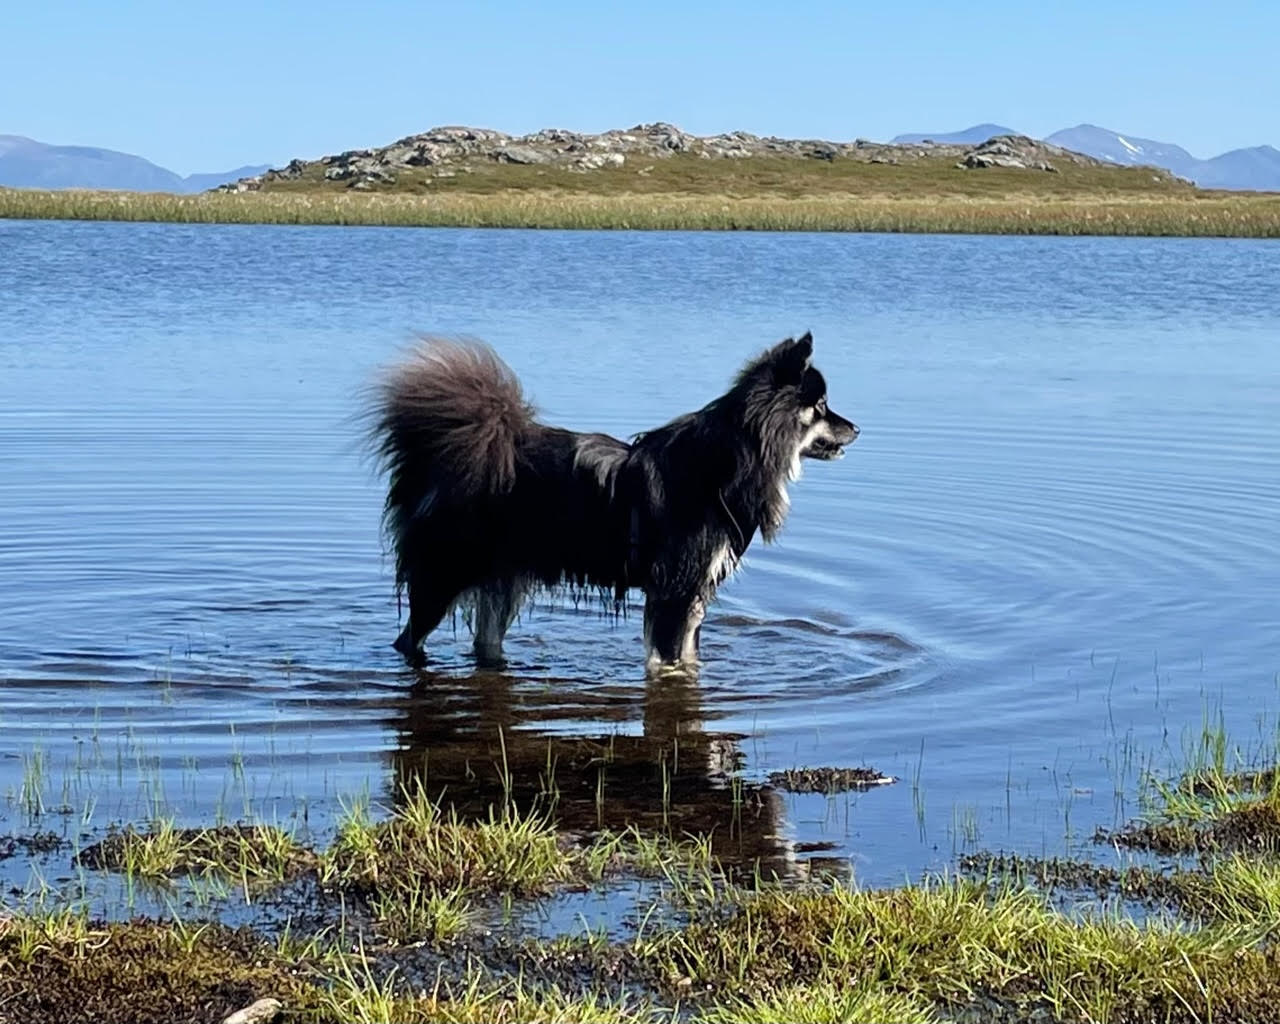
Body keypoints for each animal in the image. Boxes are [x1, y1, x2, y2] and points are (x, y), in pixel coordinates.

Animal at [371, 332, 860, 670]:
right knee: (408, 638)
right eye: (820, 406)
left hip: (502, 582)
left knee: (483, 642)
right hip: (443, 577)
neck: (733, 462)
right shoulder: (674, 591)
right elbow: (670, 663)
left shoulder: (693, 595)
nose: (856, 428)